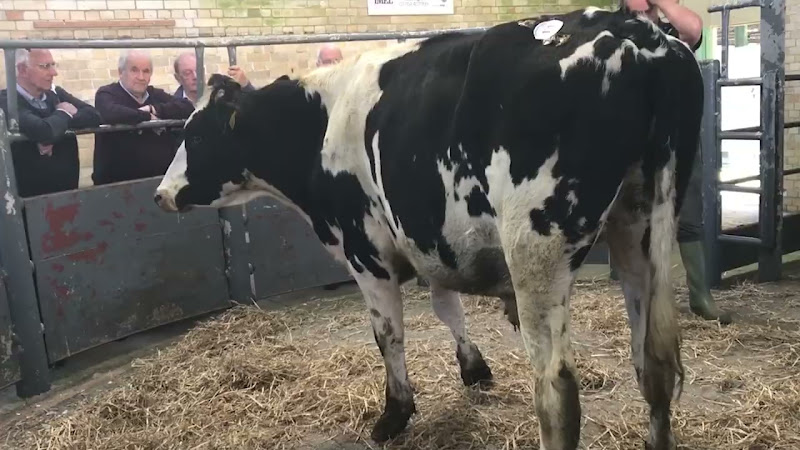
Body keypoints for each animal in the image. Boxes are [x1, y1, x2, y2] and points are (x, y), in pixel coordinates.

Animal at [154, 6, 703, 450]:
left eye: (195, 137)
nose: (160, 194)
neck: (320, 122)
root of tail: (633, 32)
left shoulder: (367, 252)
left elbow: (388, 334)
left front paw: (394, 414)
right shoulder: (433, 242)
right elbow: (446, 307)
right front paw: (474, 368)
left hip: (536, 249)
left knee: (557, 389)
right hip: (641, 228)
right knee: (652, 368)